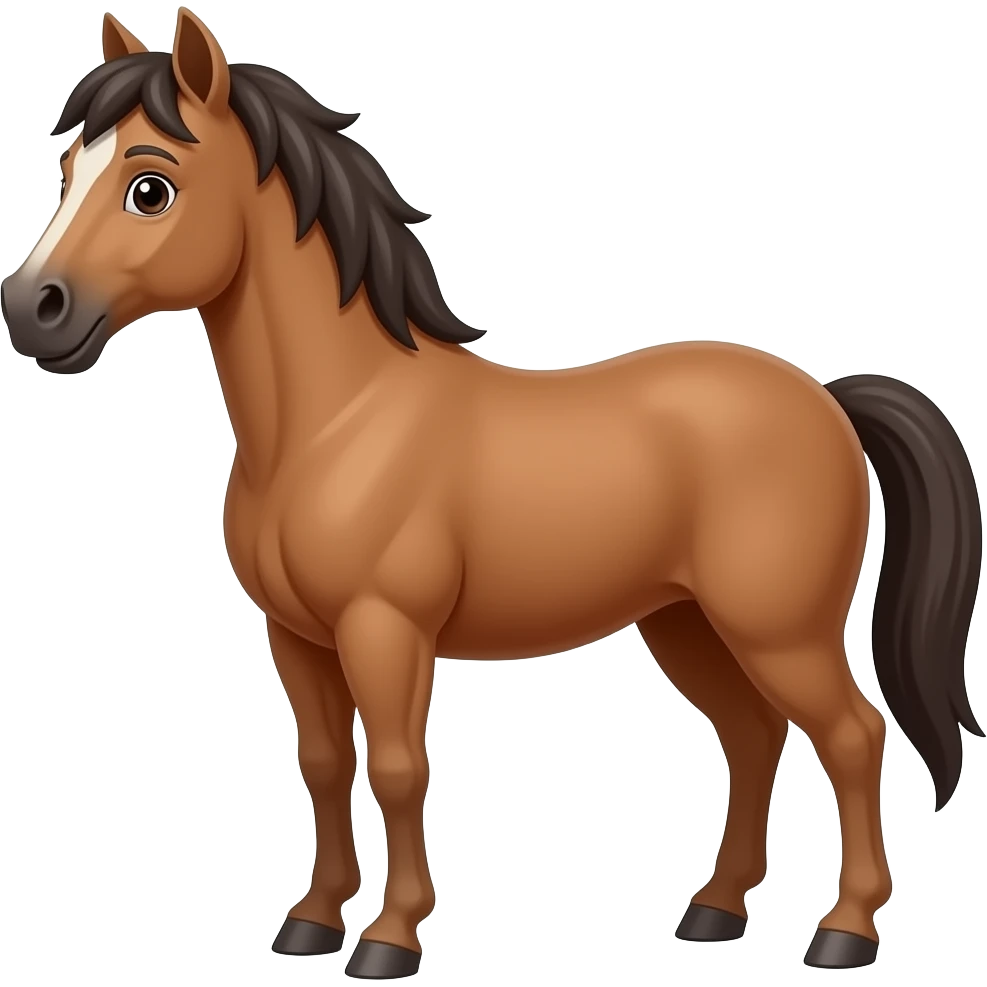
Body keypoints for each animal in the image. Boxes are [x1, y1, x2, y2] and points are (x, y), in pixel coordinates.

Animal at [1, 8, 981, 978]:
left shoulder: (384, 628)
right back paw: (714, 909)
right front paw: (311, 922)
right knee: (751, 739)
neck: (342, 420)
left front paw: (389, 938)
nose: (32, 308)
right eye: (67, 170)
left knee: (851, 735)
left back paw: (844, 929)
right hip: (687, 623)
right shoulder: (296, 636)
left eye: (150, 188)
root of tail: (826, 397)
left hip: (778, 629)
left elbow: (399, 768)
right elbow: (324, 763)